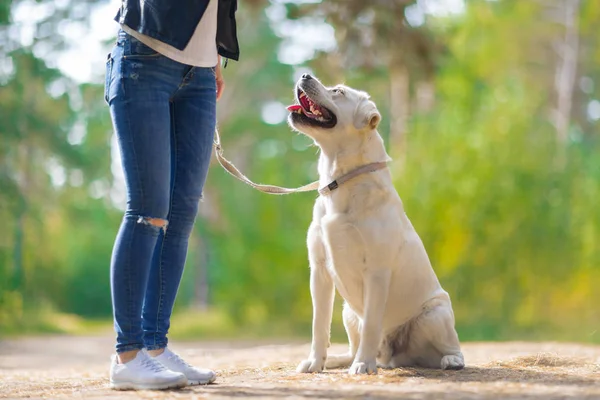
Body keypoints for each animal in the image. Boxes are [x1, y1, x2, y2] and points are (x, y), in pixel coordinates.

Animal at [286, 72, 464, 376]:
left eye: (338, 91)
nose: (304, 74)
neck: (339, 181)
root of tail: (392, 357)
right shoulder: (319, 270)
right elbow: (319, 324)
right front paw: (314, 362)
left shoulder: (377, 272)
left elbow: (371, 322)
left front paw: (363, 366)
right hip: (347, 311)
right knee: (351, 346)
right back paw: (338, 360)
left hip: (435, 314)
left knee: (449, 346)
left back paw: (450, 360)